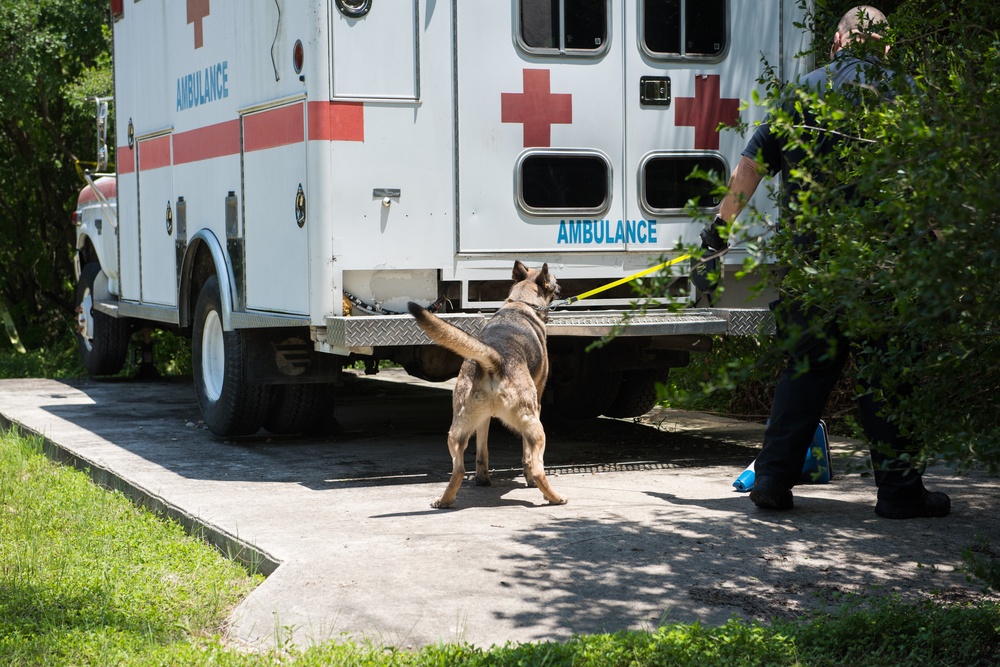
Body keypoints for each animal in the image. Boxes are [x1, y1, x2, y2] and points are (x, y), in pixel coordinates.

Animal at [404, 262, 564, 512]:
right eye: (554, 282)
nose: (562, 288)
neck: (520, 303)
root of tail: (494, 358)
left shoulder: (483, 420)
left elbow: (482, 451)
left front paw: (482, 478)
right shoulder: (537, 406)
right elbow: (527, 458)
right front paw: (527, 478)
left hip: (456, 432)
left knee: (459, 469)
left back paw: (445, 500)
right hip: (535, 427)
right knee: (538, 468)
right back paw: (554, 498)